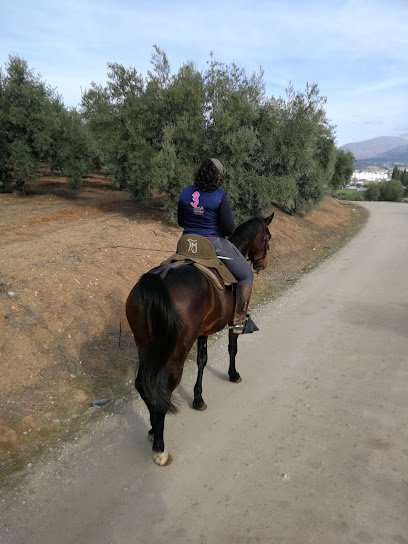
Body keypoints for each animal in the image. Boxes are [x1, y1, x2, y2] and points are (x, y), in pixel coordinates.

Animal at [126, 211, 276, 464]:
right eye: (268, 237)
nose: (262, 264)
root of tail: (158, 281)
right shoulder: (230, 324)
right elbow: (232, 348)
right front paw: (233, 374)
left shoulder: (203, 331)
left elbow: (202, 361)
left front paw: (198, 399)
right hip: (177, 348)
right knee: (164, 386)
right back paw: (160, 447)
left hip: (145, 345)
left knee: (144, 385)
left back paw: (153, 429)